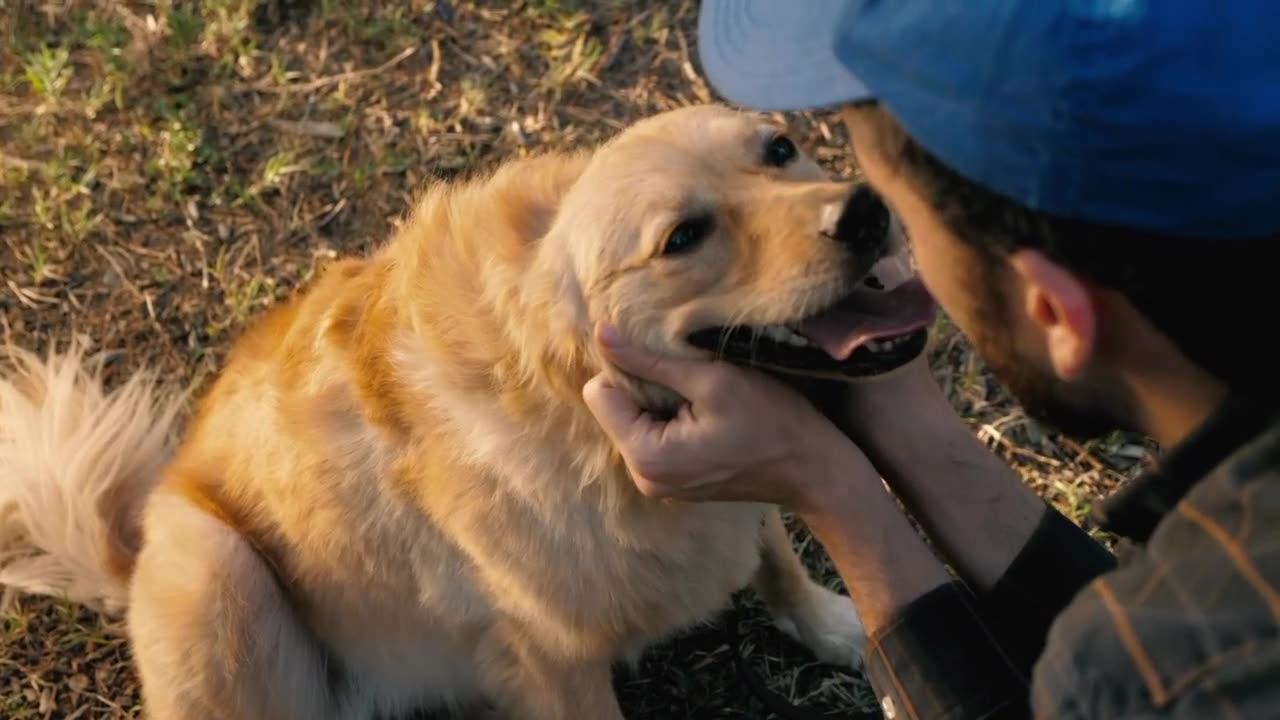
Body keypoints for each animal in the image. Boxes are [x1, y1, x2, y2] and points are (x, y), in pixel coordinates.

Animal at [0, 102, 931, 717]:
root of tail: (128, 560)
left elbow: (775, 552)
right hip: (215, 563)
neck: (585, 420)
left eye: (781, 147)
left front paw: (842, 627)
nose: (866, 211)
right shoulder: (554, 660)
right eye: (683, 238)